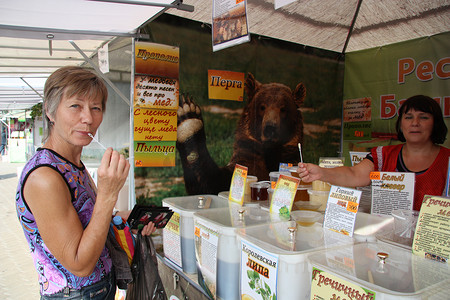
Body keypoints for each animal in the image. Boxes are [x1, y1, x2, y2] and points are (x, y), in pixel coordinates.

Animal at [176, 72, 306, 195]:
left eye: (283, 109)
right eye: (262, 107)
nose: (270, 129)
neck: (270, 152)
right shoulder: (248, 156)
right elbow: (215, 183)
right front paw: (188, 118)